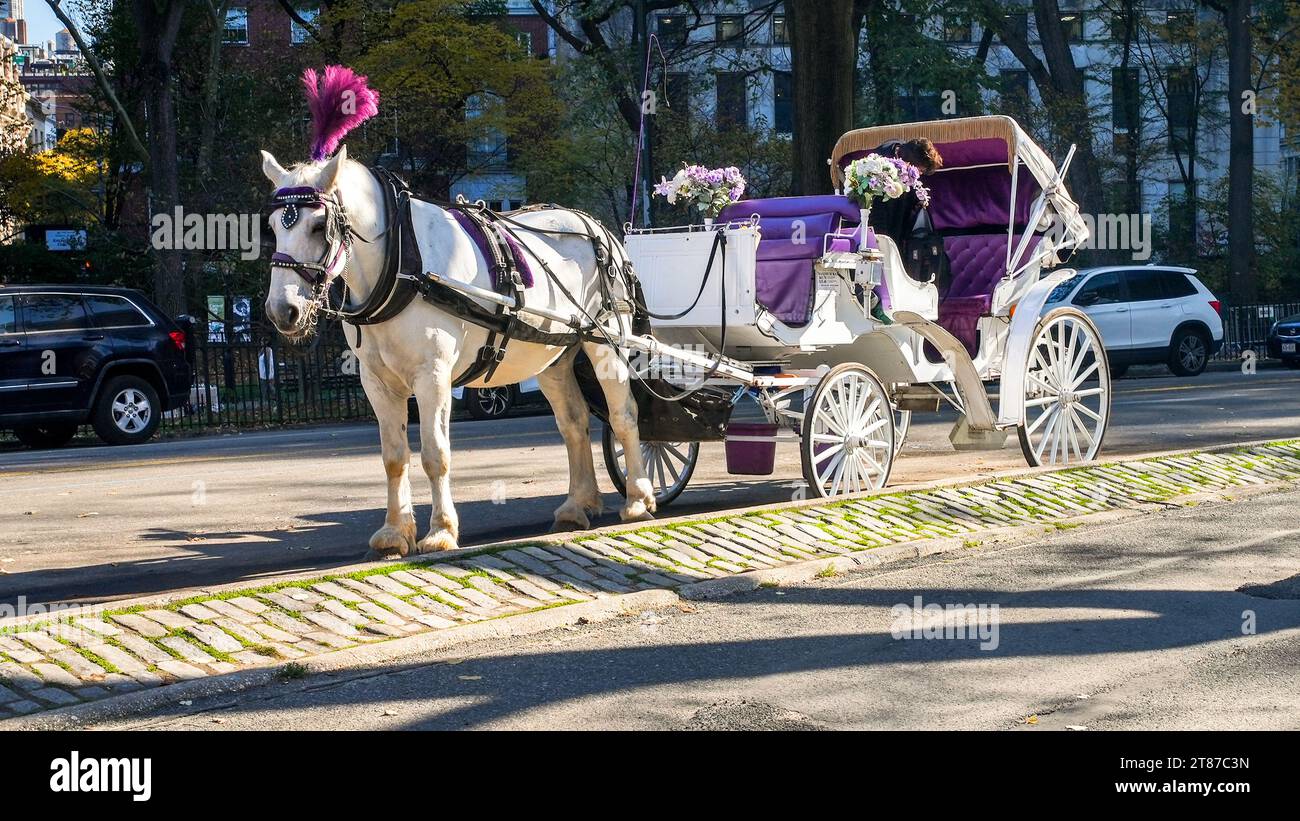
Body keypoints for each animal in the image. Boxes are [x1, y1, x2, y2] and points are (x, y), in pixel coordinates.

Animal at [261, 146, 660, 558]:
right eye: (273, 227)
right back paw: (577, 505)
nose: (282, 310)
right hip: (553, 356)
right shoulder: (377, 383)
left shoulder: (432, 375)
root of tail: (599, 228)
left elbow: (434, 454)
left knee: (624, 415)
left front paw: (440, 531)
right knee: (574, 424)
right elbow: (394, 457)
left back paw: (637, 499)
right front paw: (395, 532)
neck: (402, 261)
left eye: (317, 226)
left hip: (606, 344)